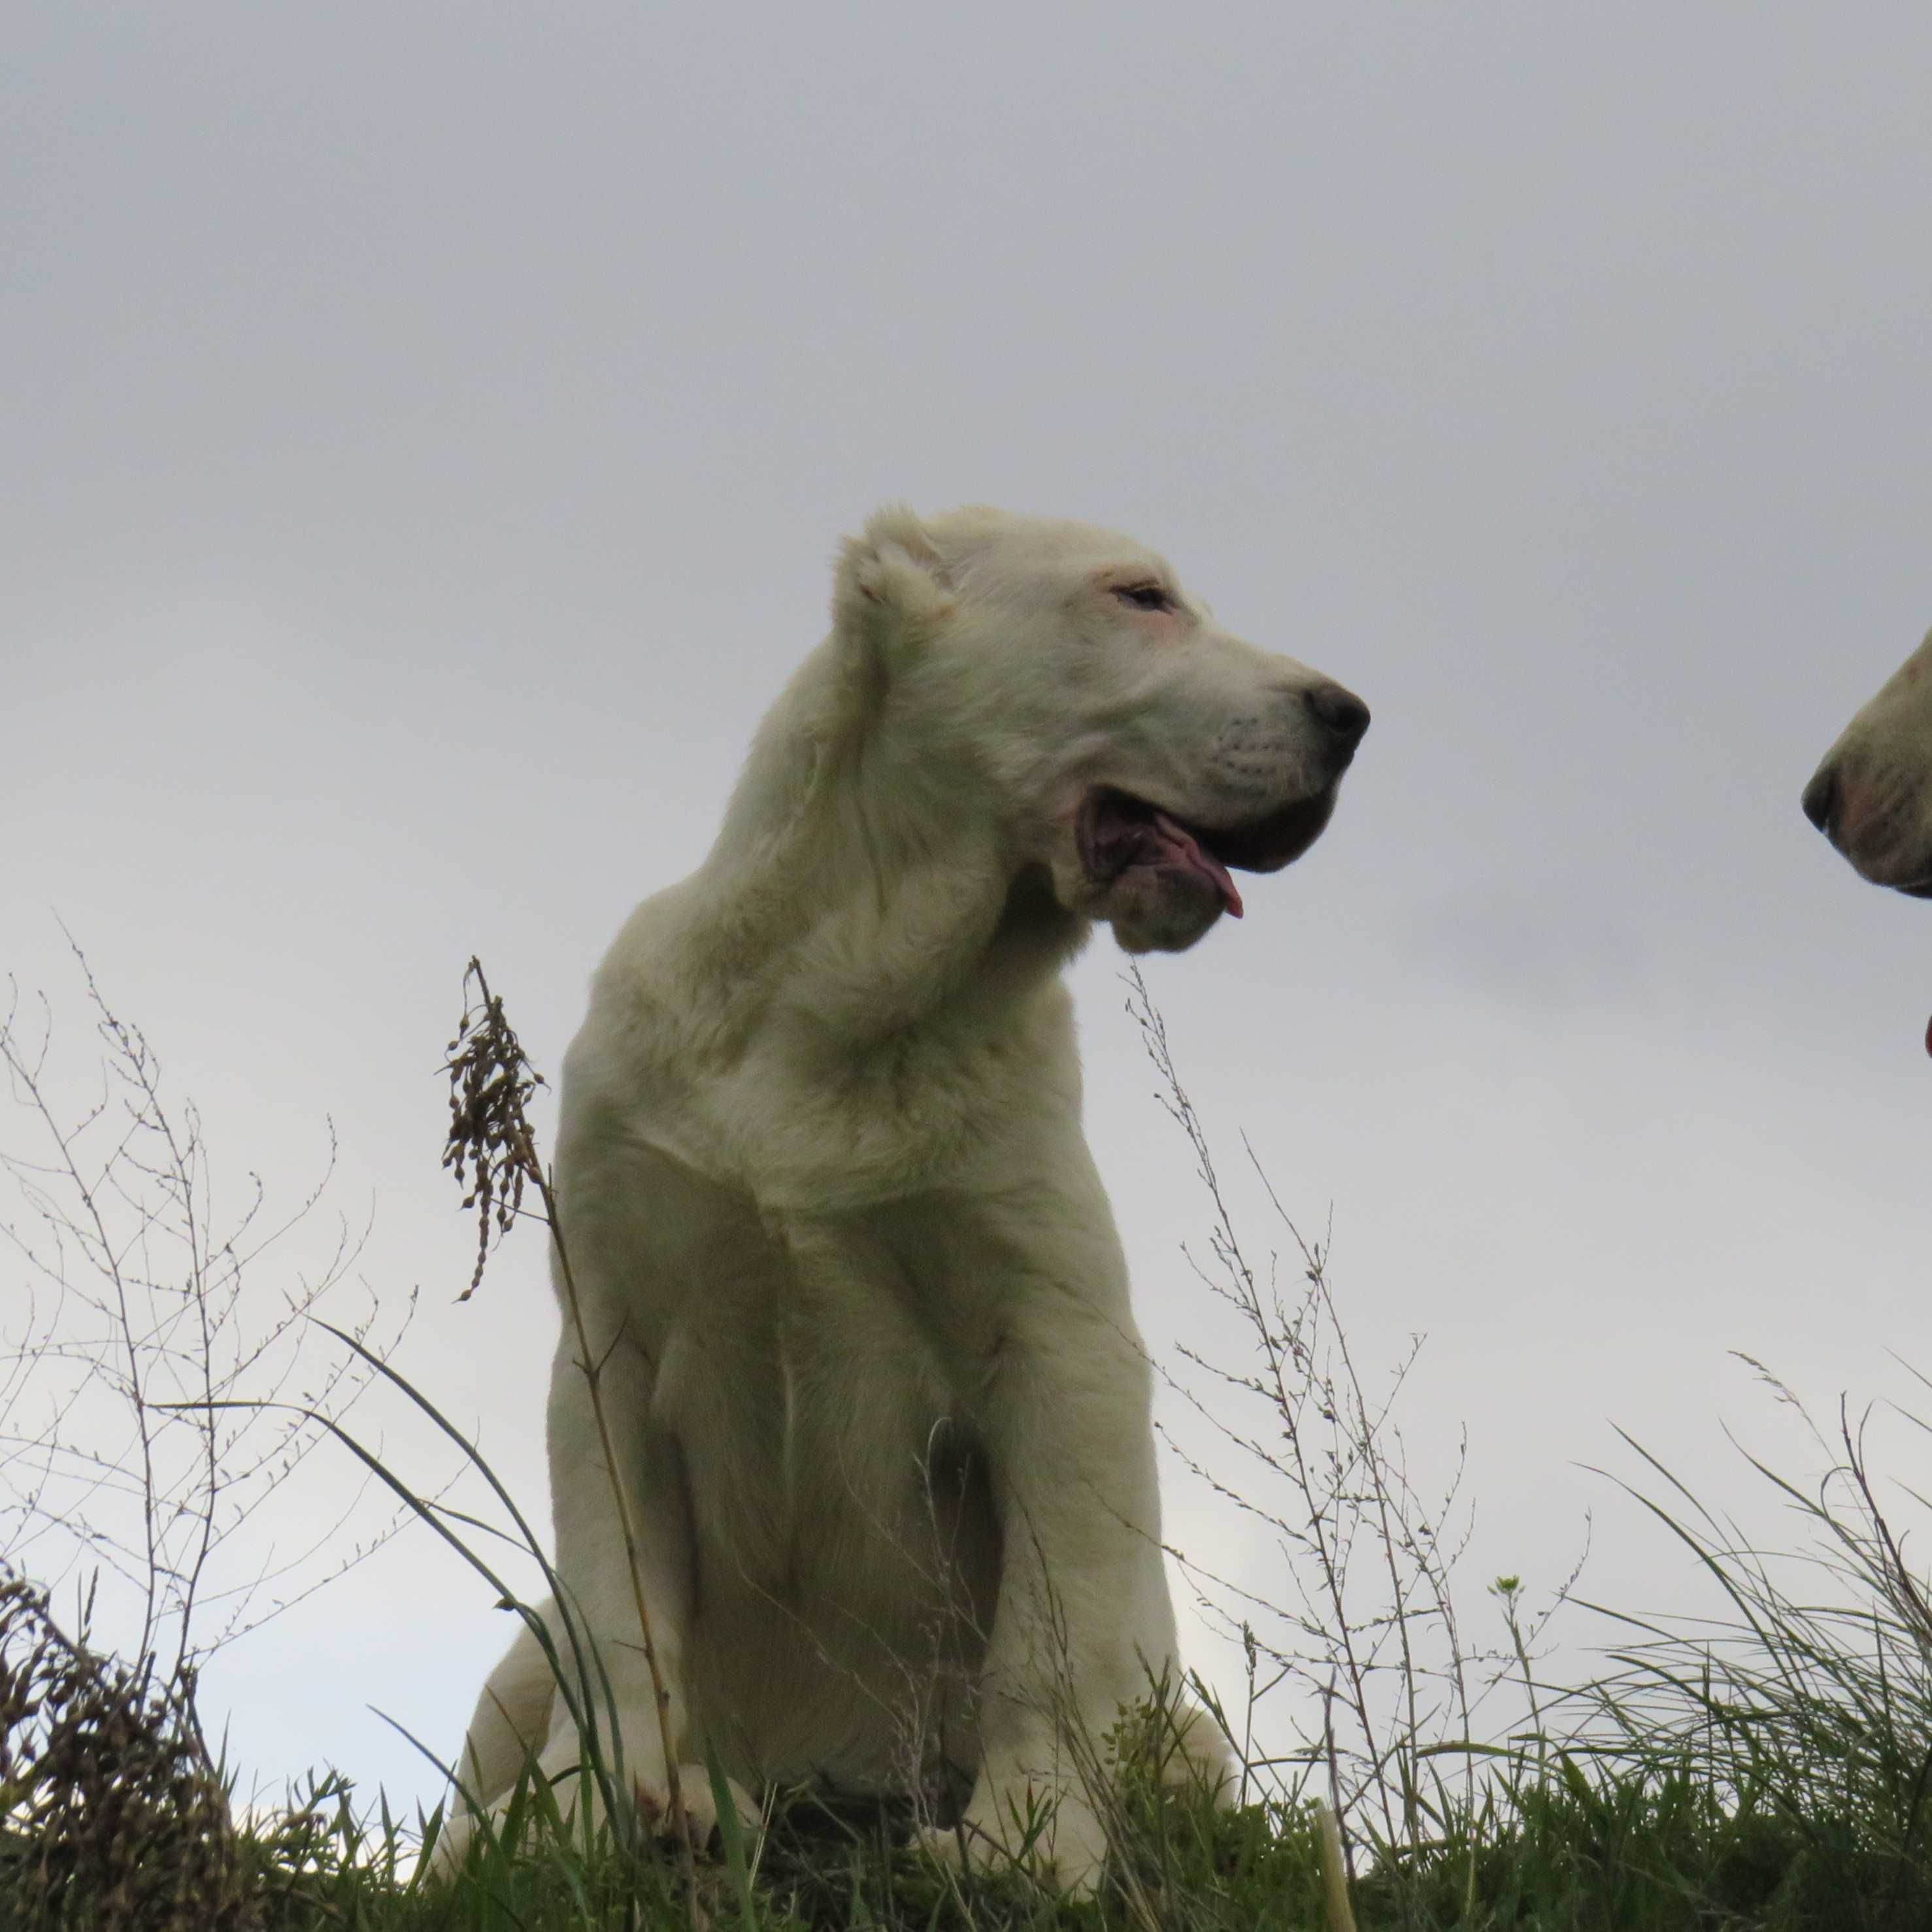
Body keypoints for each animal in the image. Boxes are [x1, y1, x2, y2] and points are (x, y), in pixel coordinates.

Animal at [440, 498, 1375, 1886]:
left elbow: (1048, 1628)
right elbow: (621, 1612)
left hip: (1181, 1726)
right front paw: (586, 1817)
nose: (1348, 715)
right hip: (516, 1662)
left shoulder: (1058, 1339)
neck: (843, 1002)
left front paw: (1023, 1844)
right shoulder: (607, 1335)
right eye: (1139, 597)